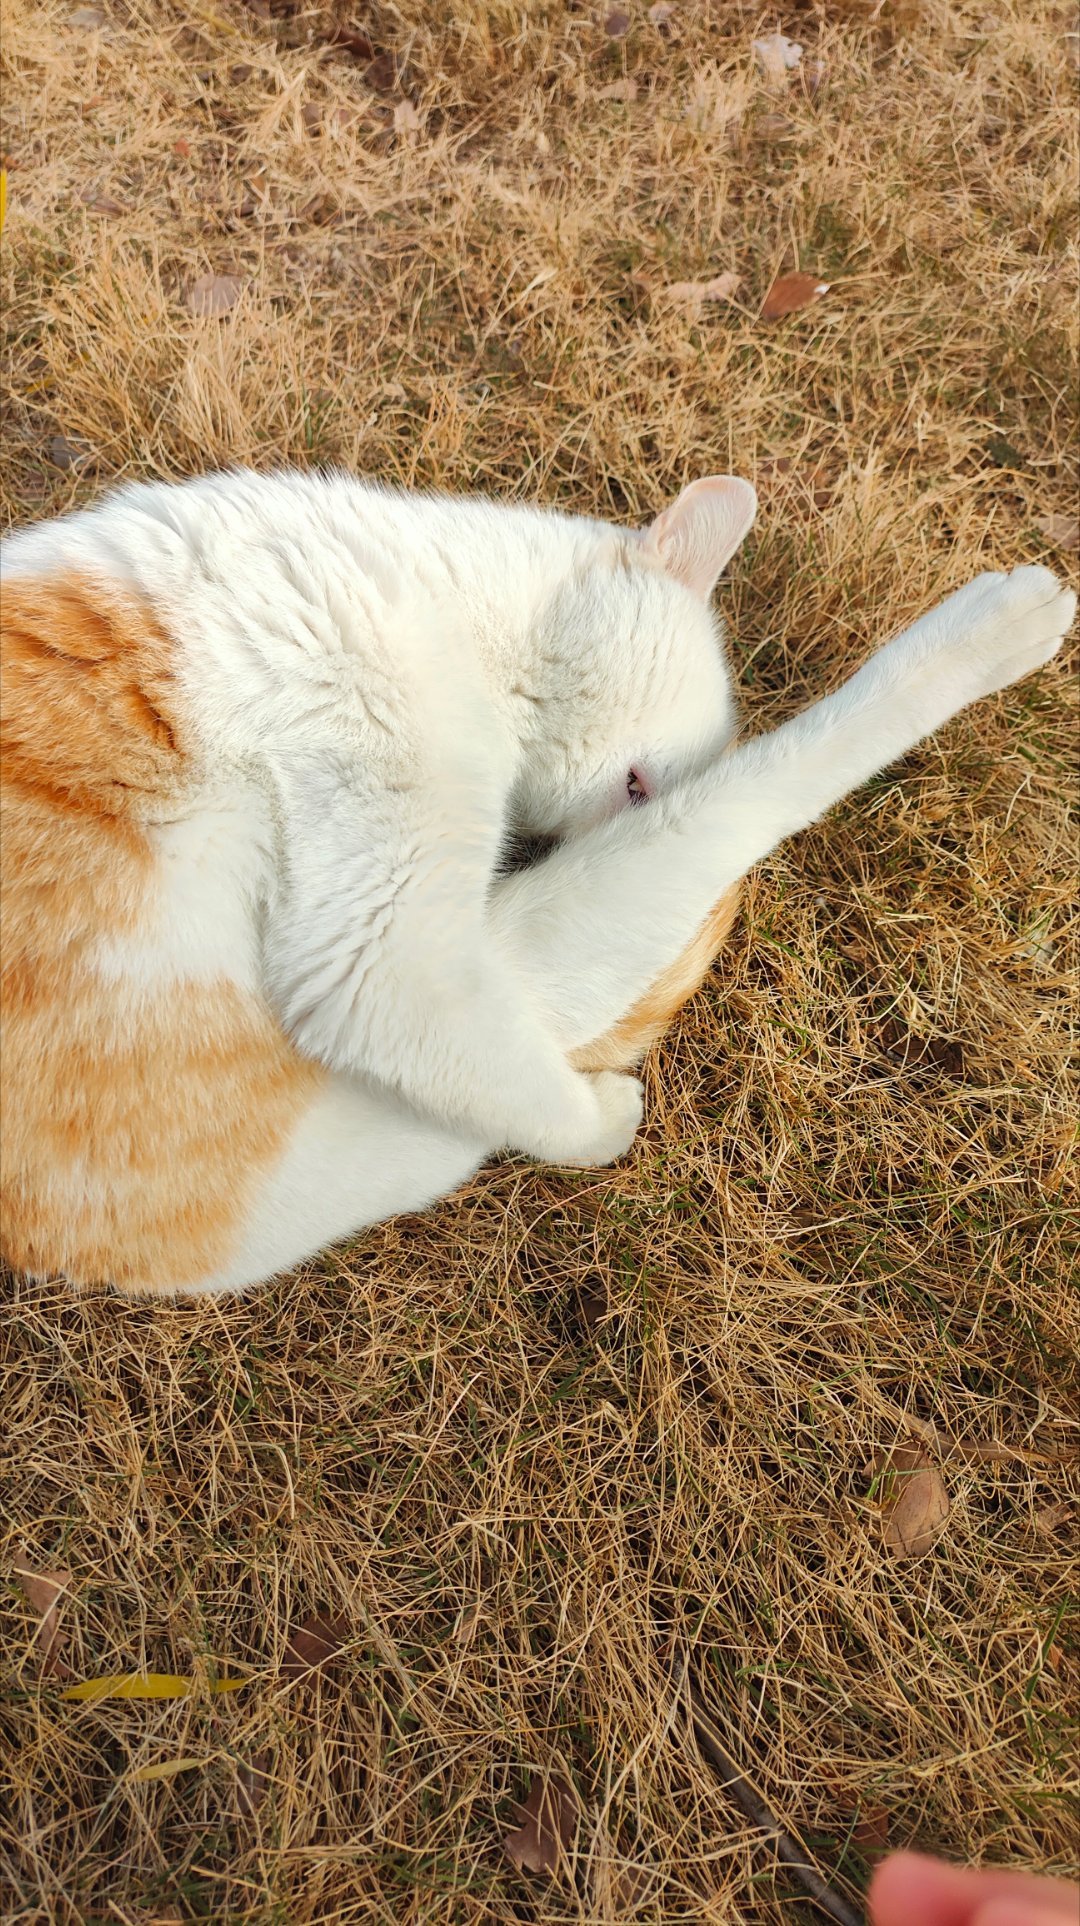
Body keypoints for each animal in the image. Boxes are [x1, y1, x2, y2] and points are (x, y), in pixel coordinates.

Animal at [0, 469, 1070, 1294]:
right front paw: (1000, 625)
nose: (578, 833)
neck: (432, 579)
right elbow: (749, 791)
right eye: (638, 784)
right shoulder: (387, 964)